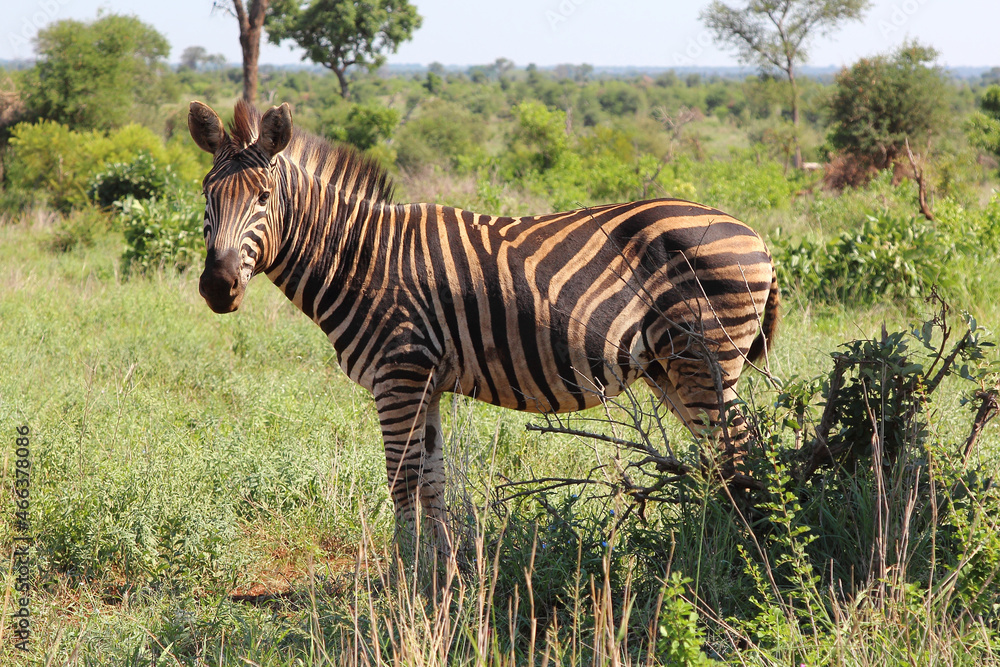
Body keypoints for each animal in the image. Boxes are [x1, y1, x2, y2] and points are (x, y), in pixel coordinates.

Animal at [189, 99, 780, 545]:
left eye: (264, 197)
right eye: (205, 195)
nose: (217, 286)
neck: (359, 258)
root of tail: (755, 233)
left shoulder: (399, 372)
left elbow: (401, 480)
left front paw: (400, 579)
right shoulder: (424, 382)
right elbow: (432, 481)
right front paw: (438, 573)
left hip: (705, 359)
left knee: (739, 451)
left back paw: (737, 546)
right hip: (671, 369)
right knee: (724, 457)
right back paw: (723, 541)